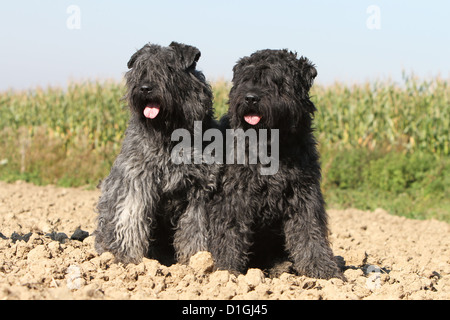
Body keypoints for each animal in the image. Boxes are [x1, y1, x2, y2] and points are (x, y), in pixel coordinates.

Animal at [94, 43, 217, 268]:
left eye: (169, 68)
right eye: (140, 69)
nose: (145, 88)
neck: (169, 137)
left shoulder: (199, 191)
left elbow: (196, 227)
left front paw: (197, 260)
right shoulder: (136, 182)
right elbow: (130, 219)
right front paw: (128, 258)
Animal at [209, 49, 342, 280]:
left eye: (275, 80)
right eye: (245, 79)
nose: (250, 97)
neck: (271, 146)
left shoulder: (303, 193)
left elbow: (310, 231)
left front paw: (324, 270)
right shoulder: (234, 194)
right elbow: (229, 230)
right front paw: (226, 270)